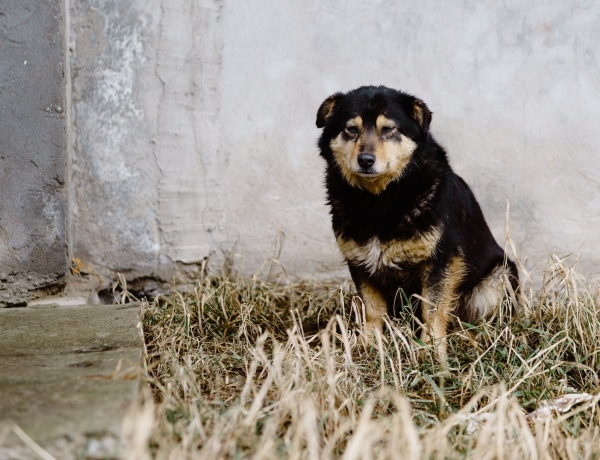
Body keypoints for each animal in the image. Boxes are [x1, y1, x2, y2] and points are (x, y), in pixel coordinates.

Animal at [316, 85, 516, 360]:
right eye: (351, 129)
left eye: (389, 129)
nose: (366, 160)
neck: (379, 200)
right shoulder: (359, 261)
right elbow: (372, 308)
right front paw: (369, 344)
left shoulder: (442, 261)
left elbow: (432, 310)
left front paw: (431, 350)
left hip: (500, 276)